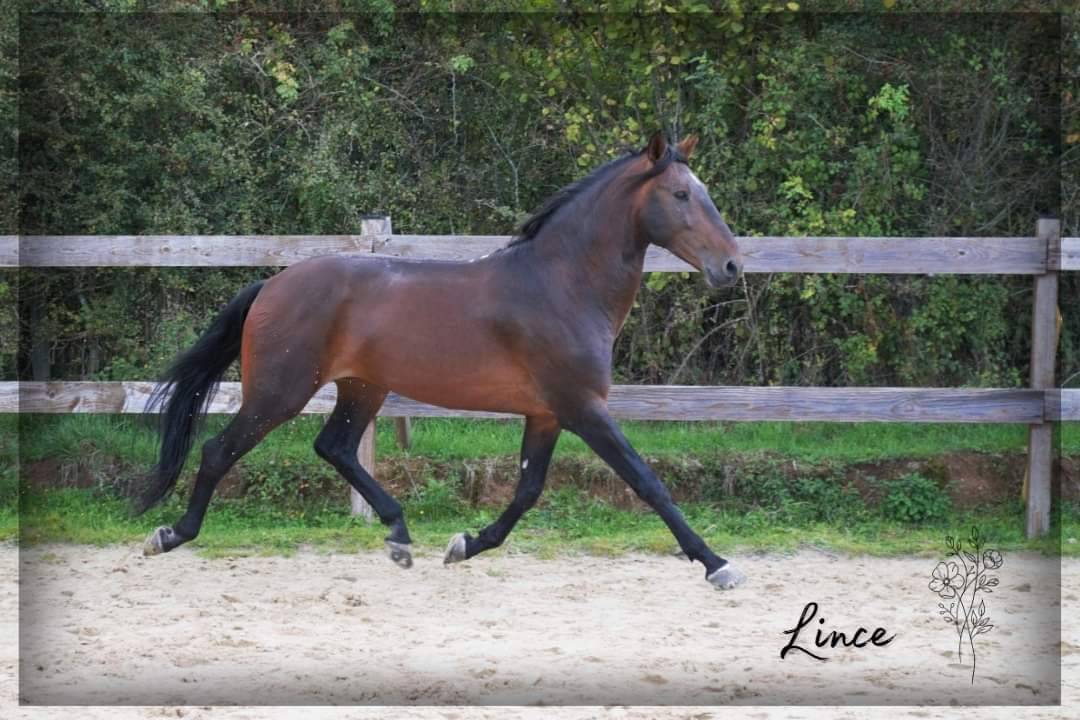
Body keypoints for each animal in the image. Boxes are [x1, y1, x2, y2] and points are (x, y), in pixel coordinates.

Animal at [137, 132, 747, 590]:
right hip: (279, 392)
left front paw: (465, 544)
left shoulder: (547, 413)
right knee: (219, 450)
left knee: (334, 447)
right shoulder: (583, 408)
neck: (562, 286)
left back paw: (399, 537)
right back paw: (170, 534)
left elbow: (527, 490)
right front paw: (717, 564)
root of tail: (272, 284)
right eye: (680, 194)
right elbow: (647, 482)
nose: (731, 266)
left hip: (363, 388)